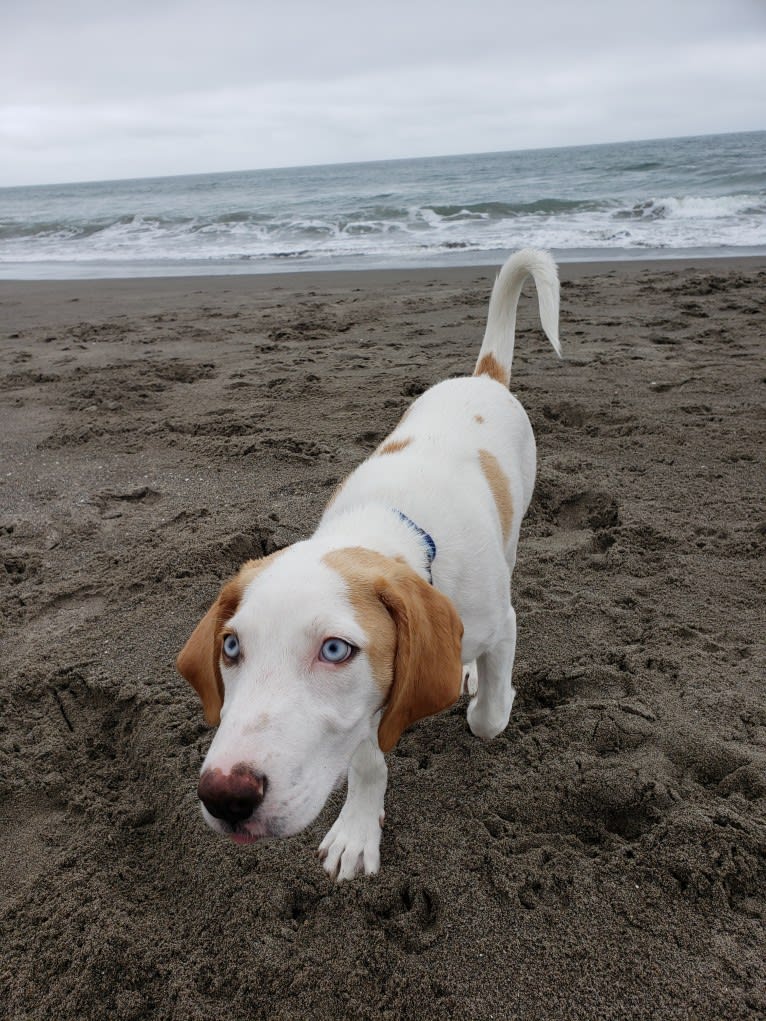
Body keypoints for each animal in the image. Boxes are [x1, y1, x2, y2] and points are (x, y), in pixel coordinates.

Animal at [176, 247, 559, 878]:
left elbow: (487, 717)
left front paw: (488, 696)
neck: (385, 528)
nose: (225, 796)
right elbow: (367, 756)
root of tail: (483, 377)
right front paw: (357, 830)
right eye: (230, 647)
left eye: (335, 650)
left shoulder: (500, 623)